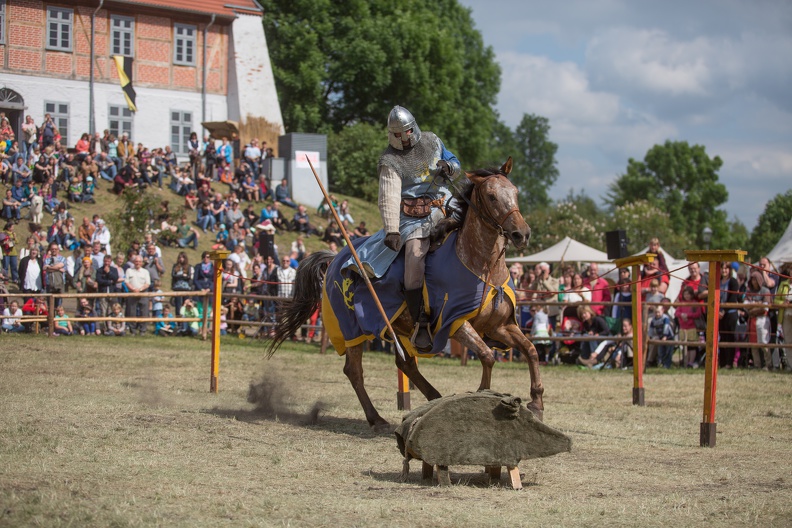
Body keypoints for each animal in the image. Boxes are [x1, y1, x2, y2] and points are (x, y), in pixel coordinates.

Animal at [266, 158, 544, 428]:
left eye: (515, 192)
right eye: (491, 196)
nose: (522, 234)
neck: (481, 266)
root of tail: (334, 259)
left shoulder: (500, 327)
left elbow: (531, 350)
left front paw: (537, 404)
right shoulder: (455, 323)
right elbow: (487, 356)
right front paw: (481, 399)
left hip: (399, 327)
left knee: (405, 363)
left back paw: (433, 400)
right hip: (353, 329)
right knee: (355, 371)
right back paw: (376, 418)